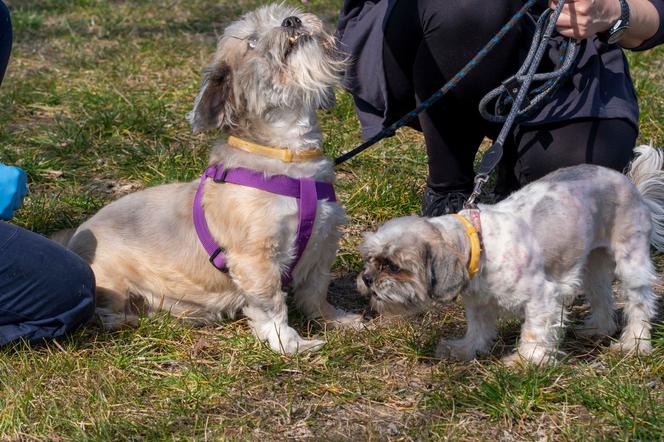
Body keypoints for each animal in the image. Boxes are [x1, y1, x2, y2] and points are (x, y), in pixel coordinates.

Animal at [61, 4, 364, 352]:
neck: (288, 158)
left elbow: (316, 293)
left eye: (283, 14)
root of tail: (73, 240)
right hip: (111, 282)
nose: (292, 21)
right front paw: (290, 343)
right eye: (252, 42)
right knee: (99, 311)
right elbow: (271, 305)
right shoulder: (255, 258)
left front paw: (336, 319)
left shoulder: (322, 244)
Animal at [358, 147, 664, 364]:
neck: (479, 244)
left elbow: (534, 331)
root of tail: (630, 183)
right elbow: (477, 328)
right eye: (370, 259)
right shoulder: (478, 302)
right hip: (593, 265)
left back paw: (633, 344)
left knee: (640, 304)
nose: (367, 278)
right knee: (602, 295)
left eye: (393, 266)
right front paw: (465, 349)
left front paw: (525, 362)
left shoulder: (543, 297)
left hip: (631, 262)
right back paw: (599, 329)